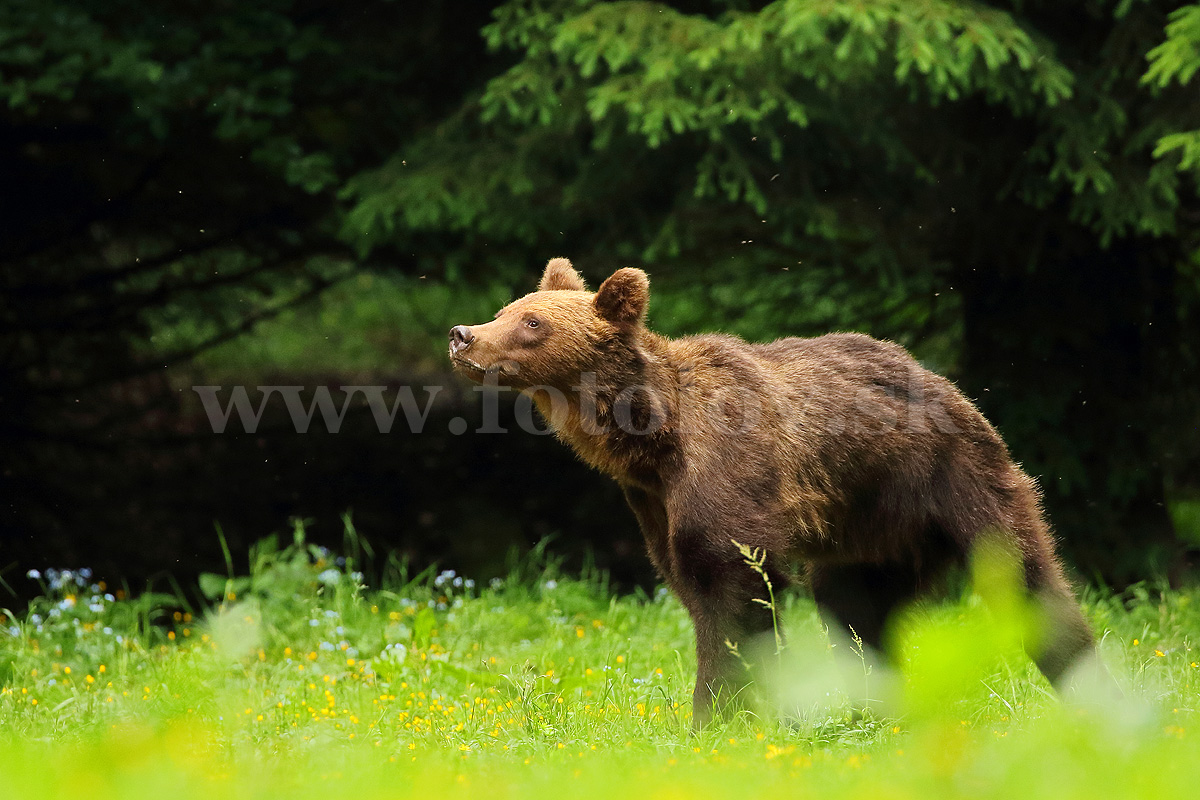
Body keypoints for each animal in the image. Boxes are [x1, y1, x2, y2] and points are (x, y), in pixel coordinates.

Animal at [448, 256, 1099, 724]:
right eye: (510, 308)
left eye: (534, 323)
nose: (462, 334)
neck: (654, 437)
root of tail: (944, 383)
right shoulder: (653, 505)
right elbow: (692, 586)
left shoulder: (727, 474)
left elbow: (732, 592)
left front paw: (716, 717)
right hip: (862, 530)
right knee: (857, 610)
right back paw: (877, 709)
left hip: (955, 479)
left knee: (1026, 575)